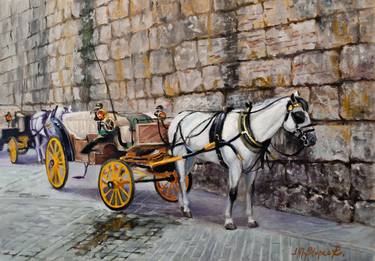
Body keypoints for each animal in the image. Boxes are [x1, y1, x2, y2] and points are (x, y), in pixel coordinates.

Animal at [170, 92, 318, 230]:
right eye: (299, 115)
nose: (312, 139)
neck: (247, 130)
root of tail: (179, 116)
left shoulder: (252, 169)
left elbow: (249, 193)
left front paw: (251, 220)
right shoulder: (235, 166)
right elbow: (233, 192)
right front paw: (229, 221)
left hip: (191, 157)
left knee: (181, 179)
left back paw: (182, 206)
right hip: (180, 155)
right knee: (182, 180)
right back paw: (186, 209)